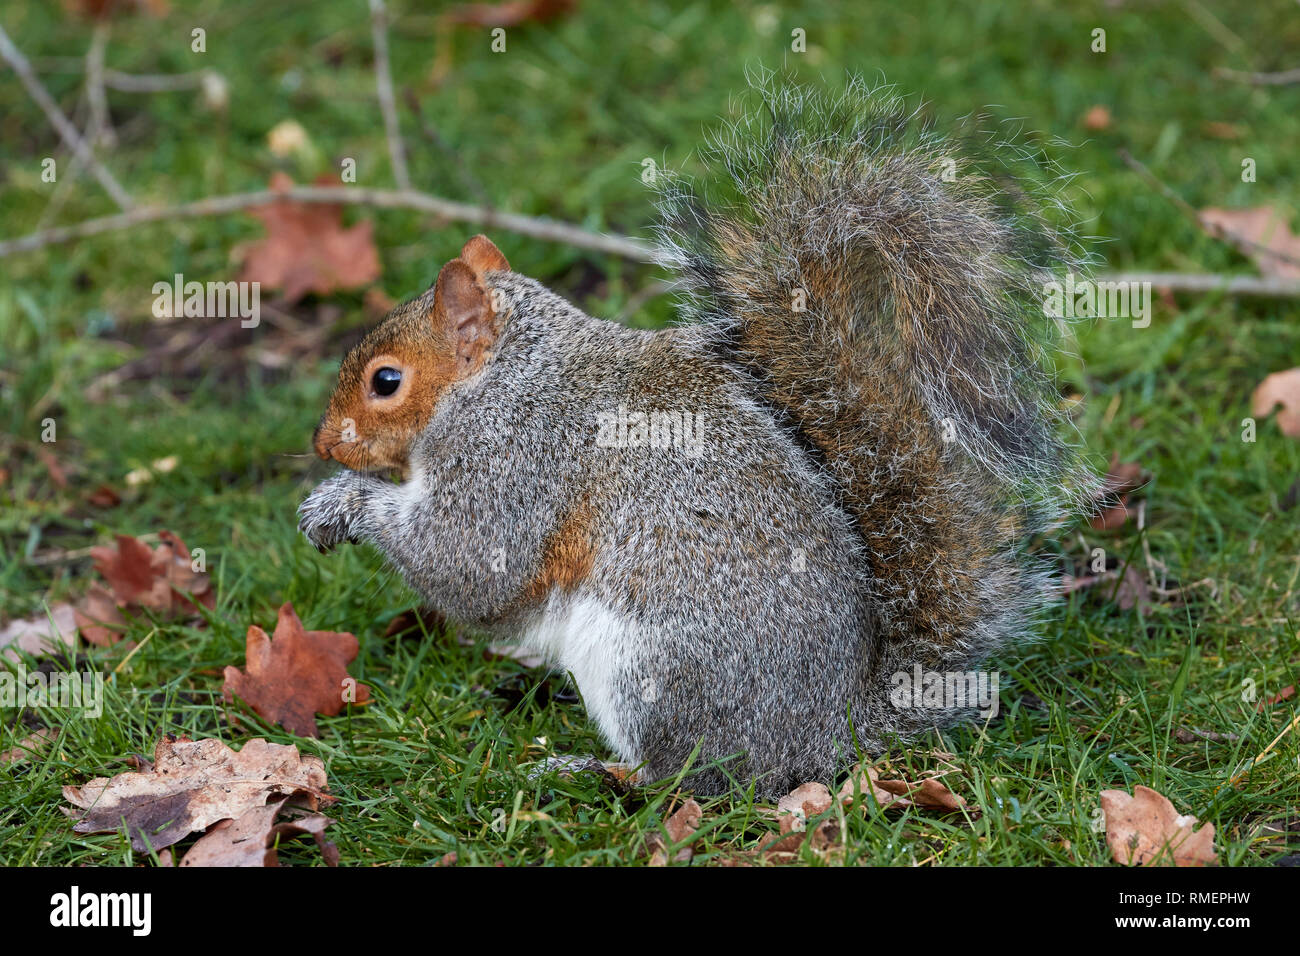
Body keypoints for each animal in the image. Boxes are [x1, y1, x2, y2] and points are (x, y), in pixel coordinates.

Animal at [299, 78, 1092, 796]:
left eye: (386, 381)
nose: (324, 445)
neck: (509, 375)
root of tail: (829, 734)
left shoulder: (518, 458)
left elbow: (469, 564)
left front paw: (344, 502)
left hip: (650, 669)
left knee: (694, 777)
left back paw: (596, 772)